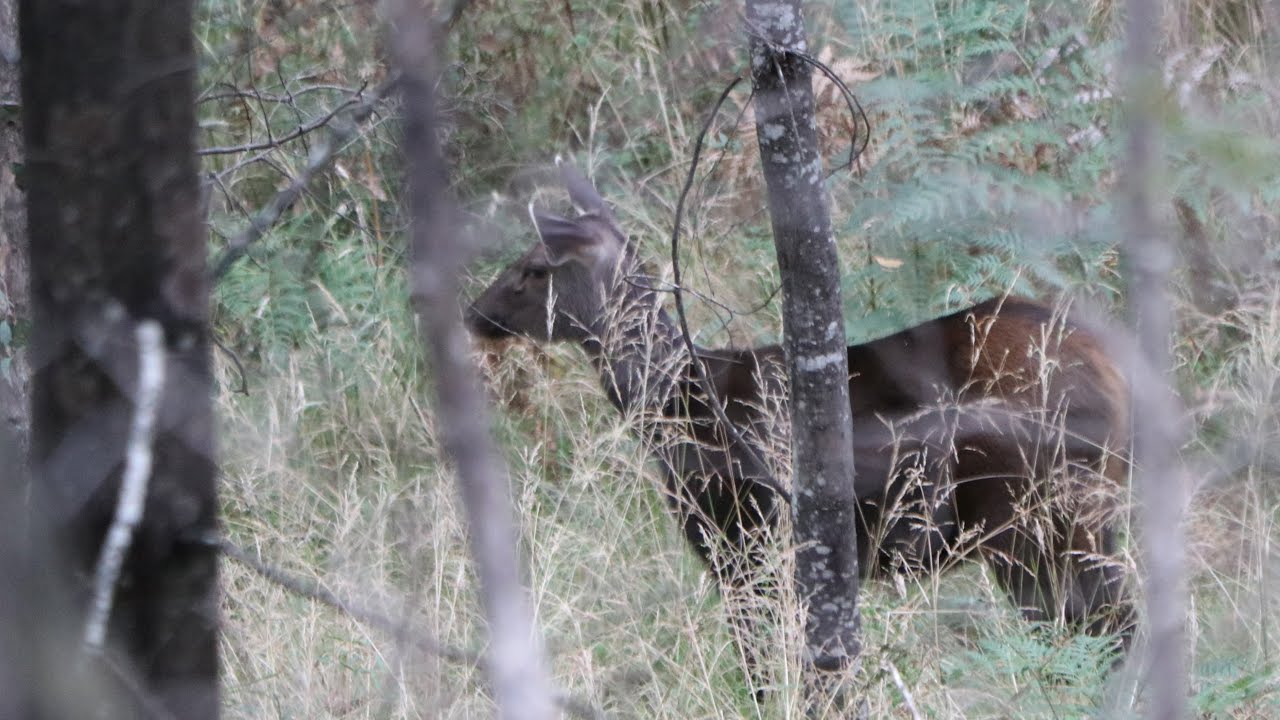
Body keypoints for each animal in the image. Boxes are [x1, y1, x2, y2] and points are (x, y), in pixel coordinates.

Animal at [466, 160, 1136, 676]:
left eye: (533, 269)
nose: (474, 313)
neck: (677, 401)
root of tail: (1113, 368)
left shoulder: (746, 543)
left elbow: (764, 666)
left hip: (1042, 519)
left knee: (1109, 624)